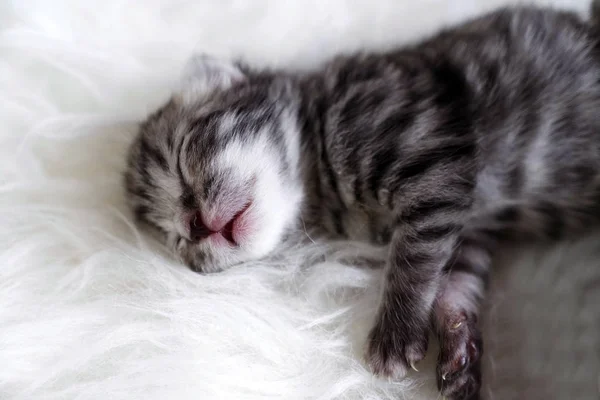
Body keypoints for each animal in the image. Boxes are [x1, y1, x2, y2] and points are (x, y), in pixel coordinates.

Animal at [122, 3, 600, 400]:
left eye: (182, 157)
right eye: (176, 241)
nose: (194, 225)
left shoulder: (433, 159)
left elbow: (415, 256)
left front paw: (396, 336)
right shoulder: (473, 223)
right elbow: (456, 277)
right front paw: (458, 347)